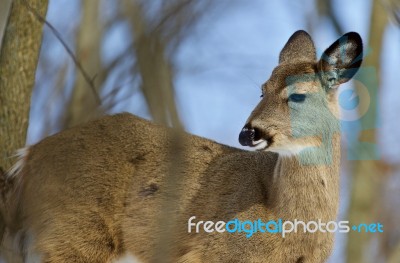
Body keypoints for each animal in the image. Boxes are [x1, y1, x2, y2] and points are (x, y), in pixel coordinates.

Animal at [0, 29, 362, 262]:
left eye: (297, 95)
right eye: (262, 90)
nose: (248, 133)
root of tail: (29, 157)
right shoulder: (211, 252)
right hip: (75, 232)